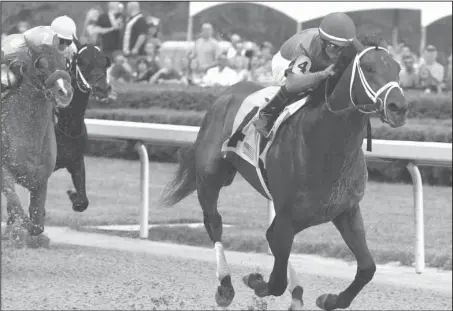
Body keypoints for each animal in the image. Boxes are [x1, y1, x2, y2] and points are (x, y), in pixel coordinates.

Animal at [1, 34, 74, 249]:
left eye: (66, 63)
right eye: (40, 63)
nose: (64, 92)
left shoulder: (41, 177)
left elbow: (37, 220)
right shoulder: (3, 170)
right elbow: (16, 205)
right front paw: (16, 233)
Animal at [53, 36, 111, 212]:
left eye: (105, 62)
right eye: (82, 62)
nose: (102, 89)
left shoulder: (76, 161)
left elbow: (82, 202)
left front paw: (73, 195)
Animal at [162, 34, 406, 311]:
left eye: (398, 68)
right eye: (369, 67)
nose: (398, 107)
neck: (326, 143)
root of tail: (226, 93)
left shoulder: (345, 210)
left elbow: (367, 267)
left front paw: (330, 299)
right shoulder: (288, 218)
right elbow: (276, 279)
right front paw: (255, 280)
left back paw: (296, 292)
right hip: (210, 177)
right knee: (213, 222)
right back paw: (225, 285)